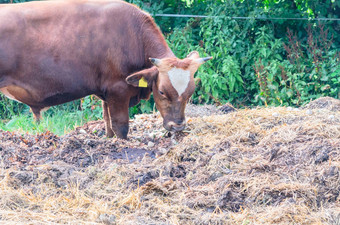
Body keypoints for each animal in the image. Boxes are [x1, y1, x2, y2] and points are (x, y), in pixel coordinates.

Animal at [0, 0, 211, 139]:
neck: (133, 35)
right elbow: (120, 127)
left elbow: (107, 123)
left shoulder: (106, 93)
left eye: (190, 93)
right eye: (161, 91)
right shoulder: (118, 89)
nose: (177, 126)